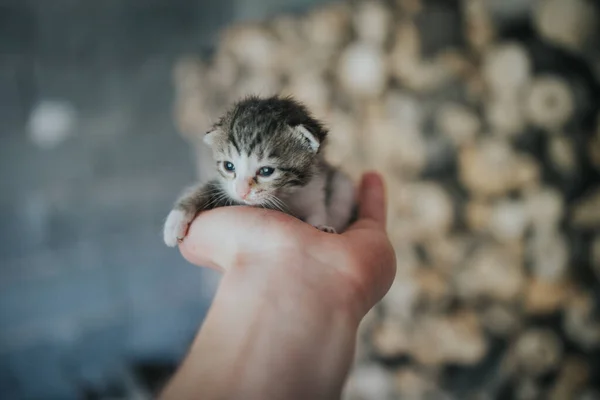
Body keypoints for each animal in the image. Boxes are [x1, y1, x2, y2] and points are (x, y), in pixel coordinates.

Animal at [163, 96, 356, 247]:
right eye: (229, 166)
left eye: (266, 171)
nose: (242, 192)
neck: (286, 196)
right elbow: (208, 189)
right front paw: (175, 221)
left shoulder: (315, 191)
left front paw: (322, 227)